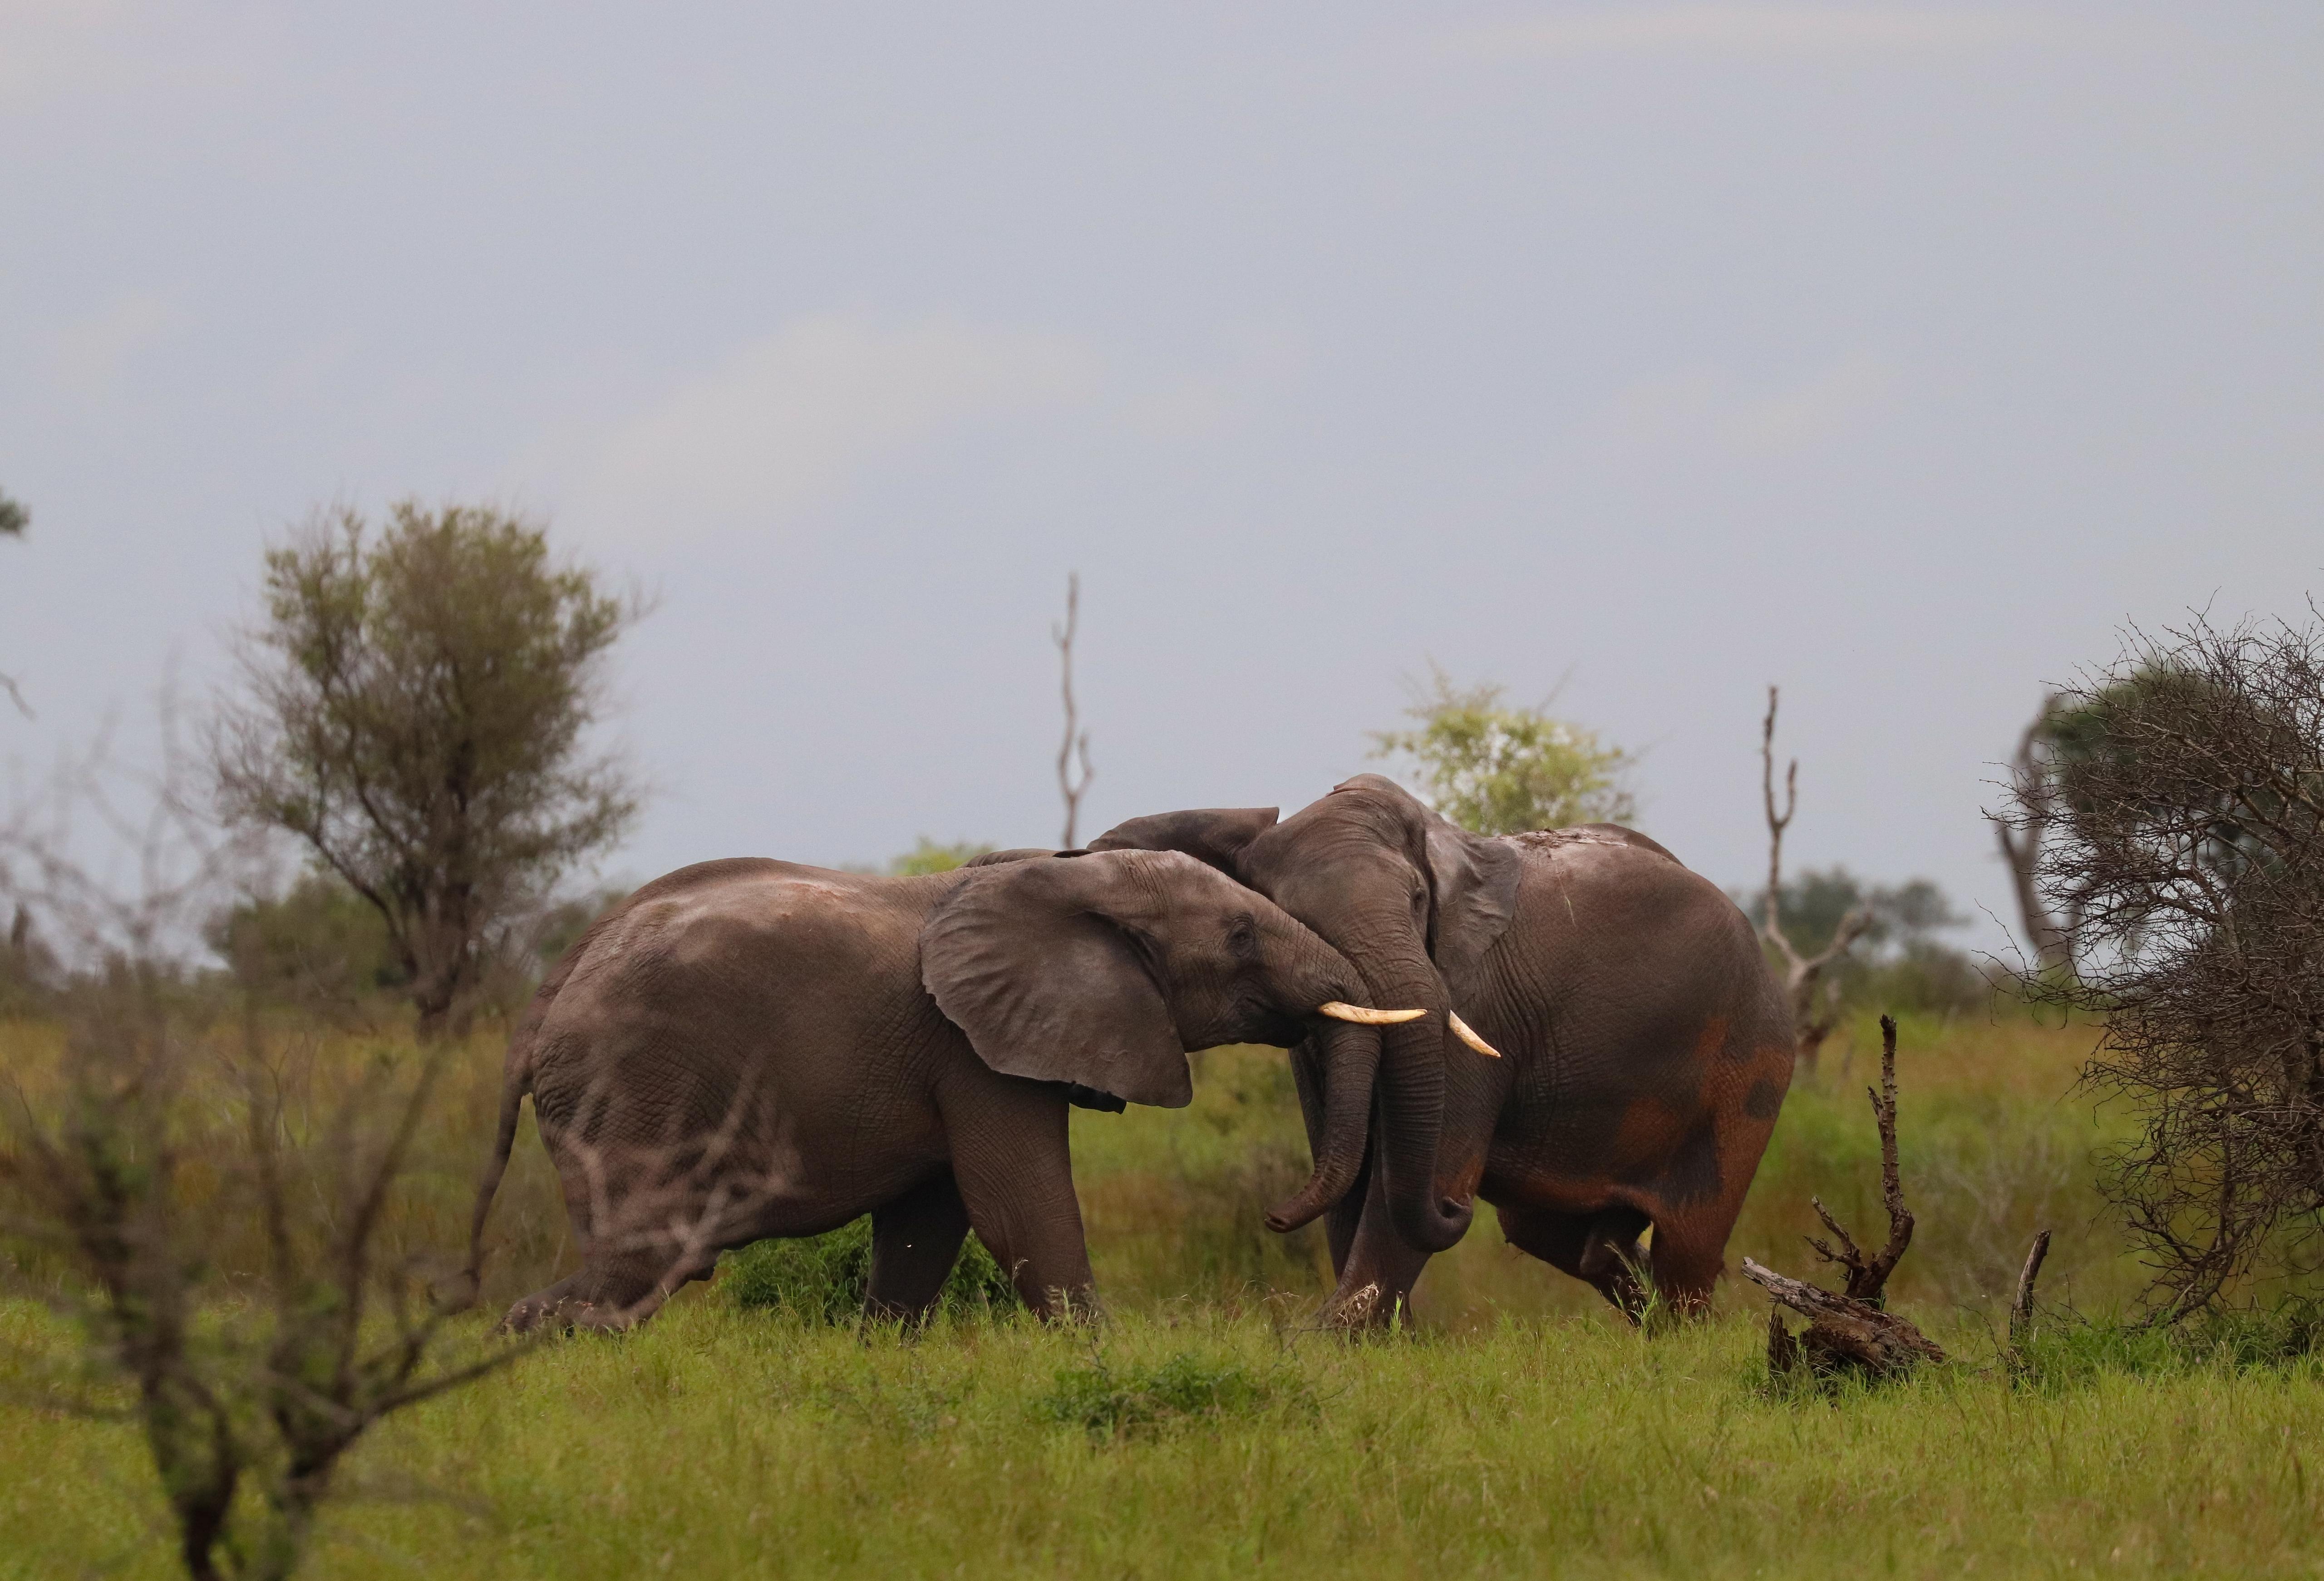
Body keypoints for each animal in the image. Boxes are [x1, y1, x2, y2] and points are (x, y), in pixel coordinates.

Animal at [463, 846, 1421, 1330]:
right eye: (1239, 936)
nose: (1275, 1214)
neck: (1068, 873)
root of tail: (557, 979)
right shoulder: (976, 1050)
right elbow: (1020, 1206)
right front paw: (1103, 1354)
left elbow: (929, 1223)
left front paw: (877, 1349)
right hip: (629, 1084)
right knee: (650, 1252)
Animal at [1088, 774, 1794, 1323]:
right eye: (1296, 919)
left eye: (1418, 899)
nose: (1275, 1216)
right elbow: (1352, 1175)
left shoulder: (1476, 1003)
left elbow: (1412, 1177)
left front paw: (1329, 1341)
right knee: (1554, 1235)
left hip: (1750, 1065)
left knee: (1689, 1246)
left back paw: (1681, 1344)